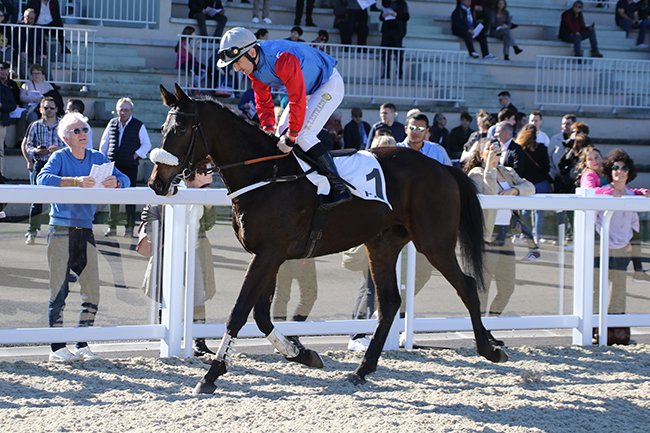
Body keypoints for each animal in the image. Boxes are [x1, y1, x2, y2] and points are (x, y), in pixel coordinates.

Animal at [150, 84, 508, 395]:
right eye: (162, 128)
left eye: (180, 130)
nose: (156, 182)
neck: (266, 175)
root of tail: (444, 168)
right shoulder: (267, 255)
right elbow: (262, 316)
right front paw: (301, 353)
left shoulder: (268, 254)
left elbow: (239, 313)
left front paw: (210, 375)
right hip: (383, 244)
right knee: (390, 302)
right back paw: (362, 369)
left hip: (433, 241)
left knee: (466, 286)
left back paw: (489, 349)